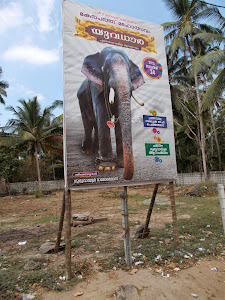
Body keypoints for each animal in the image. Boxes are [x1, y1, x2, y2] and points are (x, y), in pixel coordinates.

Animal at [77, 45, 144, 179]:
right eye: (105, 69)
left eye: (129, 70)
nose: (124, 177)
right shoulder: (97, 88)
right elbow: (103, 114)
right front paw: (106, 167)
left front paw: (121, 165)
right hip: (81, 101)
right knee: (88, 123)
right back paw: (86, 151)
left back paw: (96, 151)